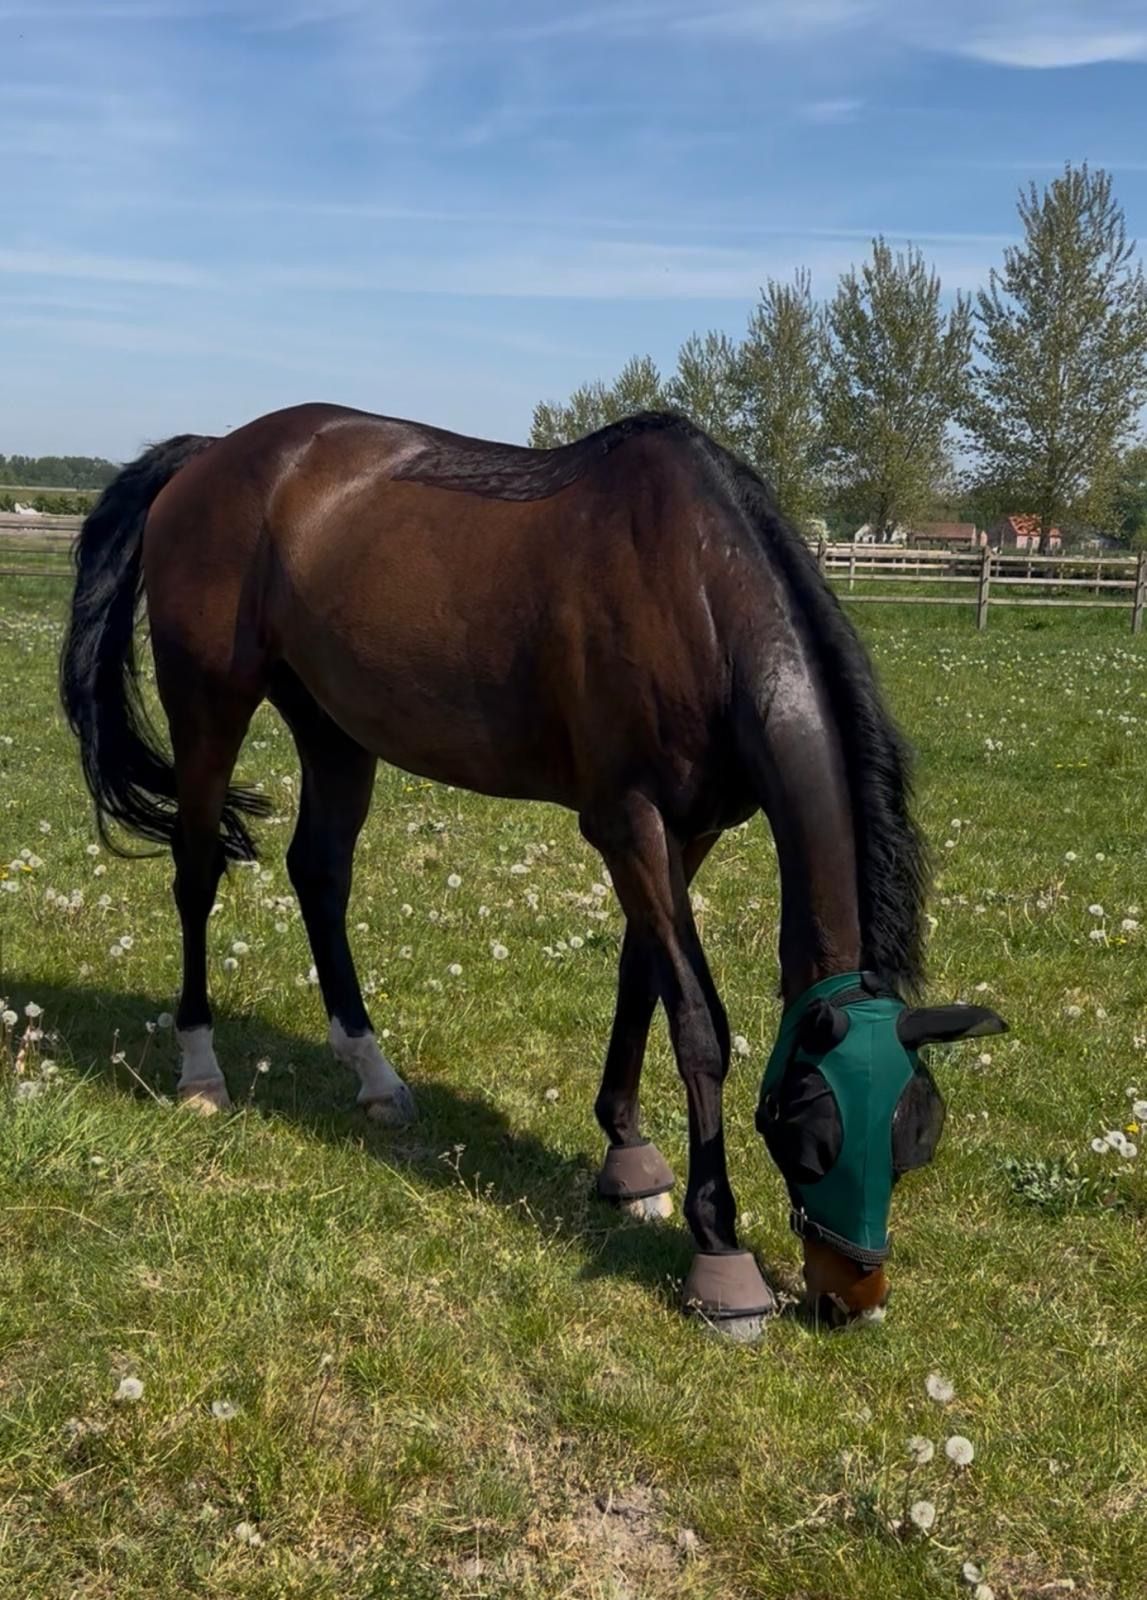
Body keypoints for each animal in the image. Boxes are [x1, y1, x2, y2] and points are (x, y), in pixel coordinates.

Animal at [60, 404, 1005, 1339]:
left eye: (915, 1137)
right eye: (808, 1131)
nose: (852, 1301)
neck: (695, 589)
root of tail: (213, 455)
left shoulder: (688, 829)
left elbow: (641, 979)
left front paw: (629, 1158)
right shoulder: (627, 821)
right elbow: (696, 1022)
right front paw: (721, 1255)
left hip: (333, 724)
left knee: (319, 872)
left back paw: (373, 1073)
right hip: (209, 706)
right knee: (195, 875)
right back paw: (200, 1071)